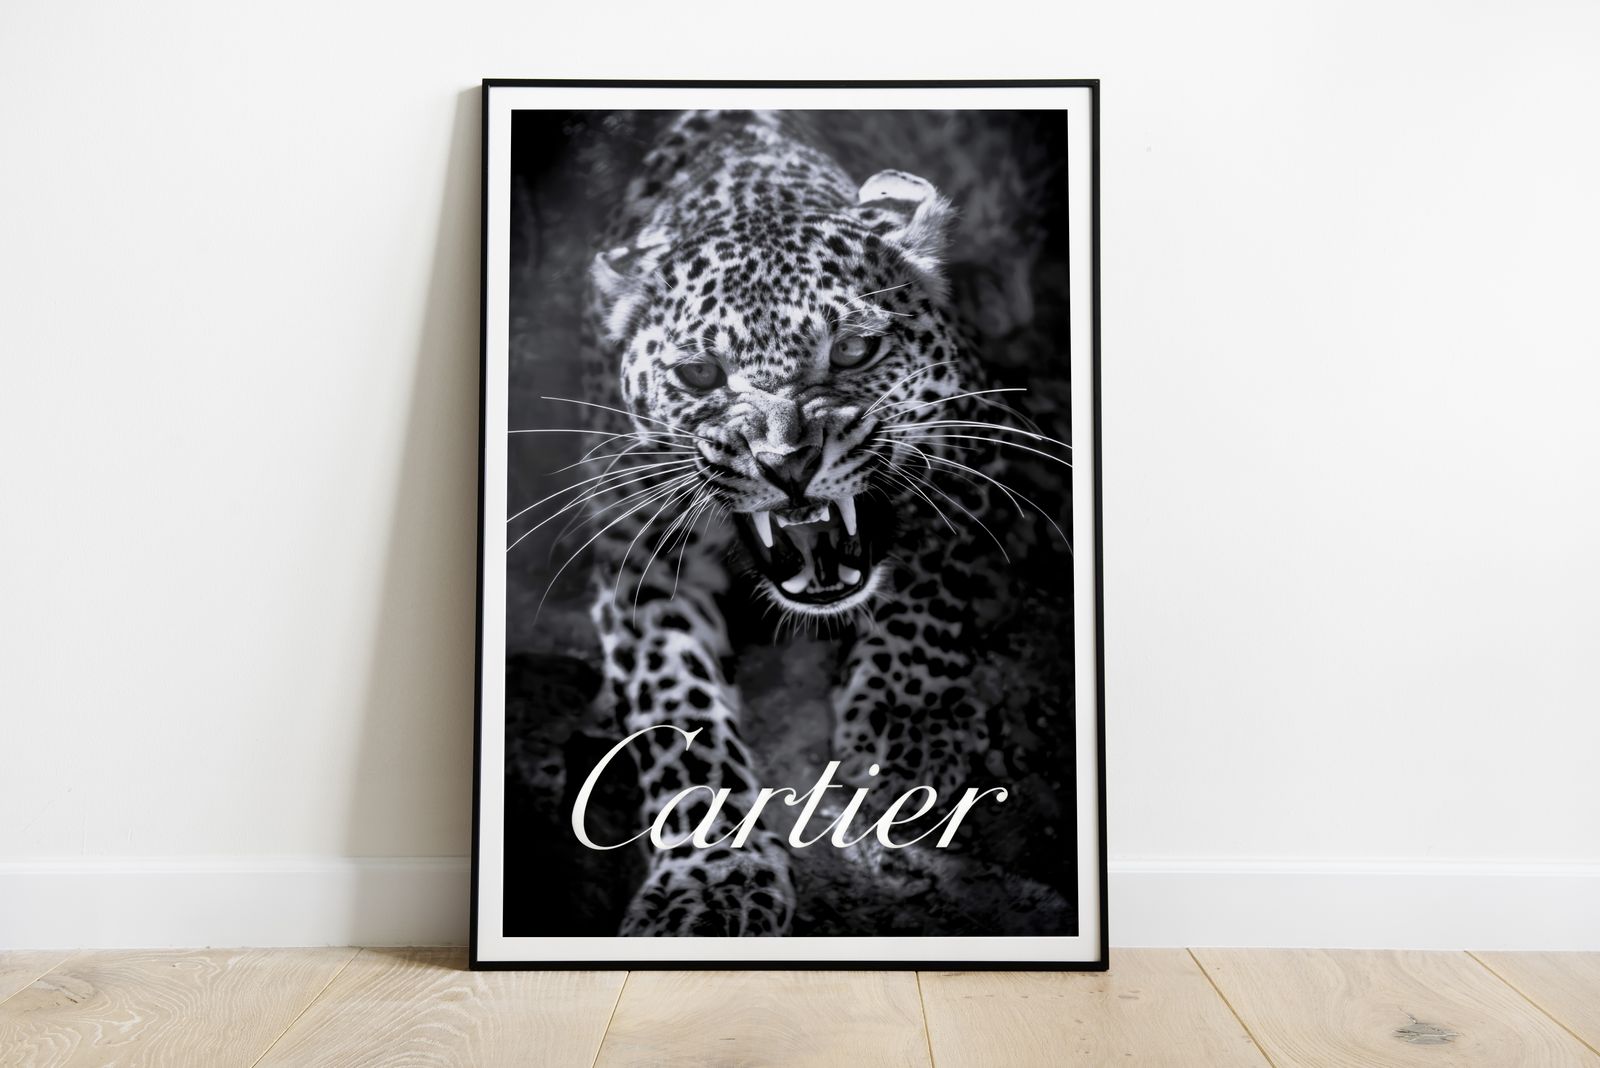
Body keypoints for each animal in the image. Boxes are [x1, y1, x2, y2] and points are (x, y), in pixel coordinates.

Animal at [565, 109, 1070, 937]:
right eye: (699, 374)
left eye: (856, 348)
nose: (787, 462)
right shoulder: (634, 544)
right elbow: (675, 710)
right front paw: (711, 879)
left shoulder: (967, 441)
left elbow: (927, 586)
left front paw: (905, 736)